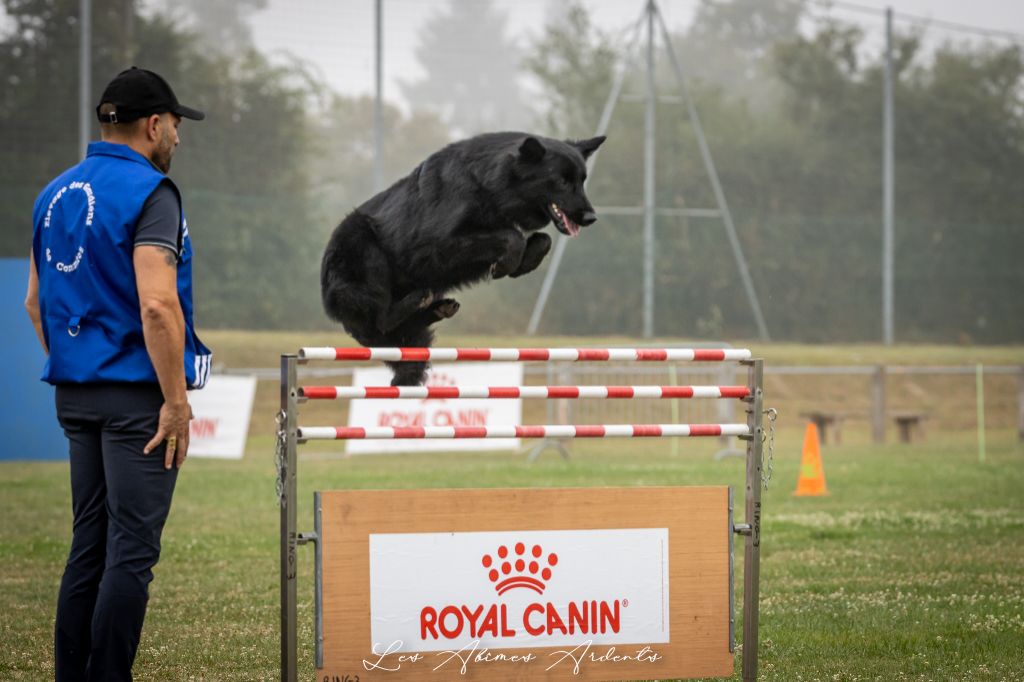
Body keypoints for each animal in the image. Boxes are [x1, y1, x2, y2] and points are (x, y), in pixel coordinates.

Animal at [321, 131, 606, 382]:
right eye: (562, 181)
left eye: (582, 180)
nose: (591, 218)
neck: (485, 181)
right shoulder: (439, 246)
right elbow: (511, 236)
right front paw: (507, 264)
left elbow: (542, 239)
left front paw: (522, 262)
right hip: (364, 247)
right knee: (382, 319)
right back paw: (417, 300)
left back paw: (437, 308)